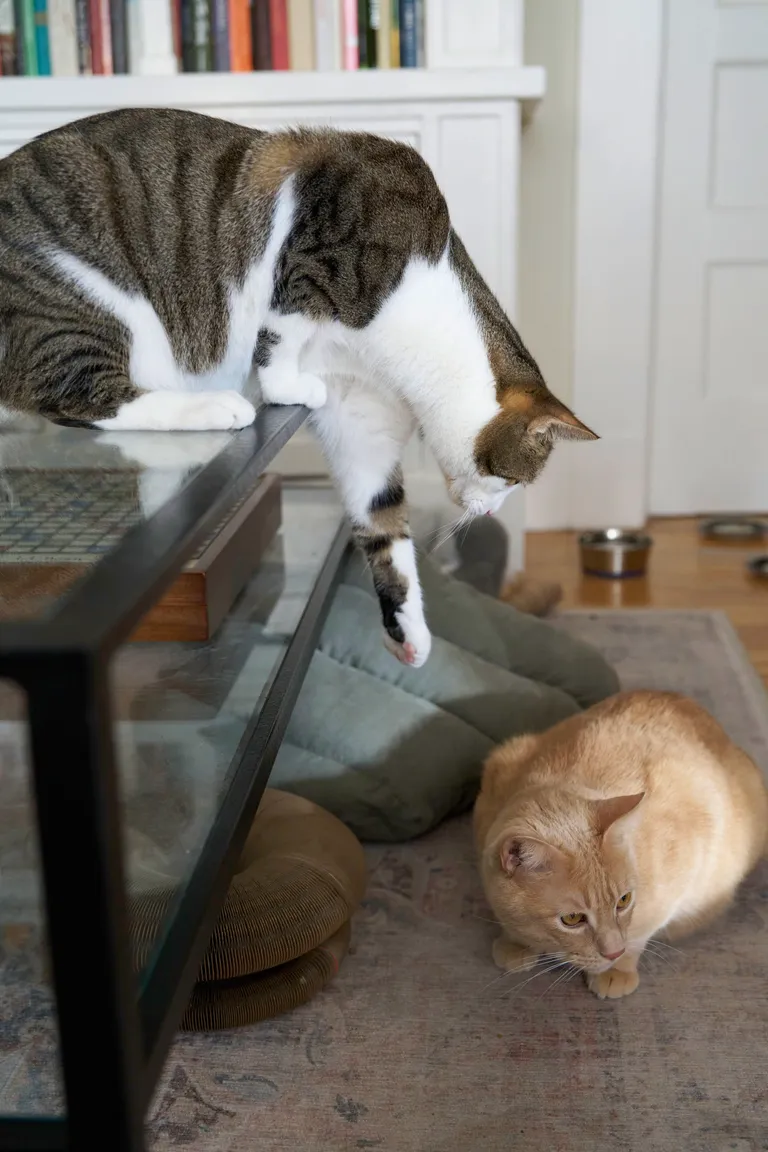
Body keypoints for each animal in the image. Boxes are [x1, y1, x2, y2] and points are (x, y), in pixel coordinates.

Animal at [0, 110, 594, 668]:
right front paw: (284, 384)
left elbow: (382, 517)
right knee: (80, 396)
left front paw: (409, 629)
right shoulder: (318, 248)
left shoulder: (360, 414)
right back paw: (214, 406)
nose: (492, 516)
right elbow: (284, 326)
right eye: (512, 480)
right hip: (79, 301)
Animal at [474, 691, 768, 999]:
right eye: (572, 919)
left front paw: (618, 968)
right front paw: (516, 941)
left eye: (624, 901)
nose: (613, 952)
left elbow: (639, 933)